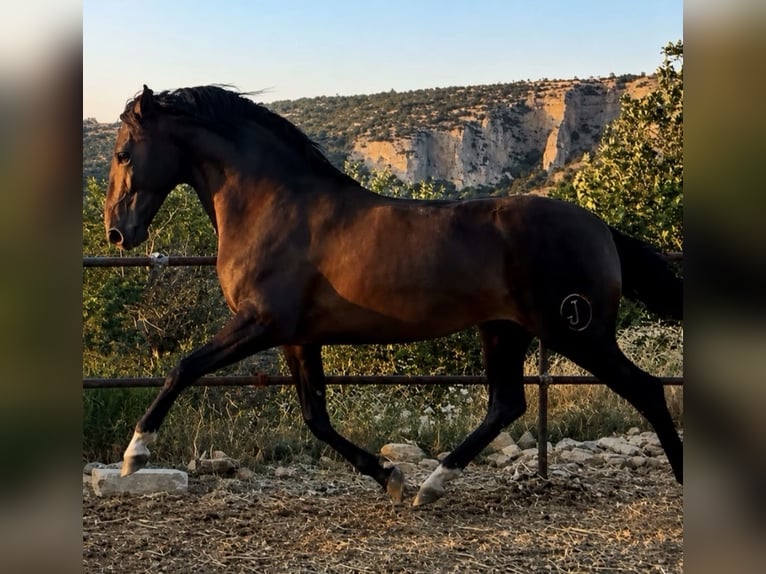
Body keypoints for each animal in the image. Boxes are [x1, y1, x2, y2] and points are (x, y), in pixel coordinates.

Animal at [104, 84, 683, 506]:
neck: (274, 204)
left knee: (647, 390)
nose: (117, 232)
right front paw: (390, 478)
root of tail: (600, 227)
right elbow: (316, 419)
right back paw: (430, 487)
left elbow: (184, 367)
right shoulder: (297, 338)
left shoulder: (260, 323)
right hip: (505, 330)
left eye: (123, 153)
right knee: (506, 404)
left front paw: (135, 454)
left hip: (576, 331)